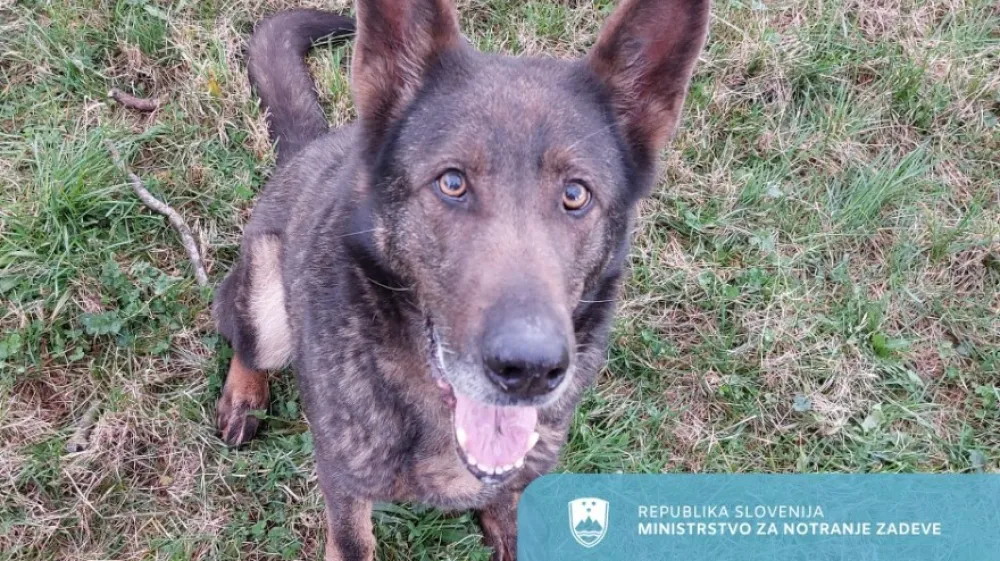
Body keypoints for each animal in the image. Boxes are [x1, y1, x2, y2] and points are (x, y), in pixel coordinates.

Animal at [212, 0, 709, 558]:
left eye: (576, 194)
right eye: (452, 182)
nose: (529, 370)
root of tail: (309, 149)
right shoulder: (344, 490)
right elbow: (353, 538)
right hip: (266, 300)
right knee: (246, 342)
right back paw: (244, 396)